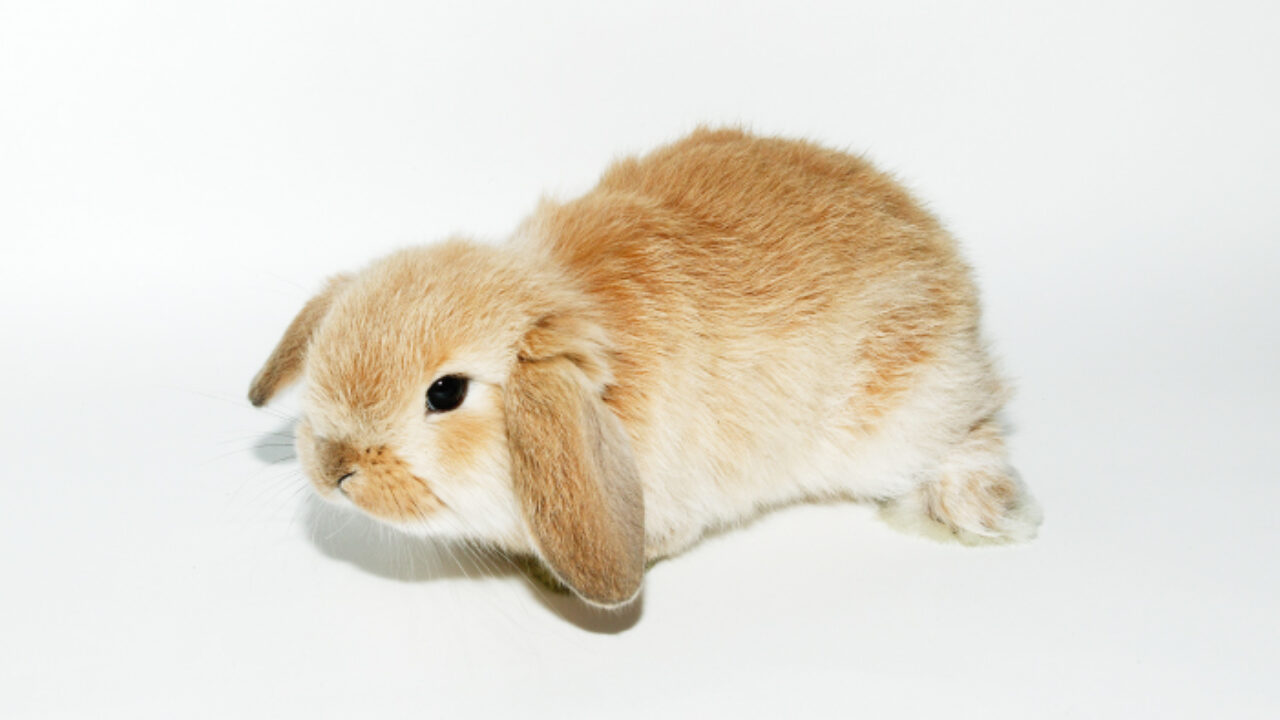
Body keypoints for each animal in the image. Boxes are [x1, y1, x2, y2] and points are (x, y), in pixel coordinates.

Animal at [247, 128, 1039, 604]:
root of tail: (948, 264)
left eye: (446, 392)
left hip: (898, 418)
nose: (335, 467)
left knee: (972, 429)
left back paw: (984, 510)